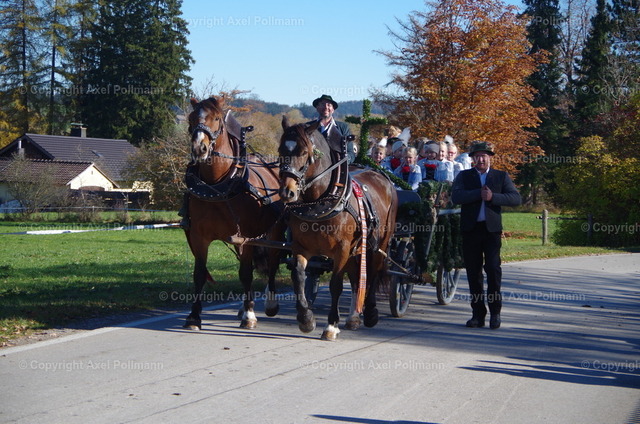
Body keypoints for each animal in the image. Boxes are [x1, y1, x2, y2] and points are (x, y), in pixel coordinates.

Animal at [183, 96, 285, 330]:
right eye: (191, 118)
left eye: (216, 118)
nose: (199, 148)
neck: (216, 185)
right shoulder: (199, 237)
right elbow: (199, 274)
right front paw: (193, 316)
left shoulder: (245, 238)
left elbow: (246, 274)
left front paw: (249, 315)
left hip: (274, 232)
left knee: (273, 262)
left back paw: (269, 304)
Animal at [278, 117, 398, 340]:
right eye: (281, 150)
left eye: (304, 152)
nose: (287, 192)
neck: (320, 200)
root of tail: (382, 176)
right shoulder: (301, 247)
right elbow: (298, 277)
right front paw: (306, 319)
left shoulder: (341, 249)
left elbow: (336, 284)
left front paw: (331, 325)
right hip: (356, 249)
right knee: (357, 278)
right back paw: (353, 317)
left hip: (379, 244)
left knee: (374, 273)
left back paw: (370, 313)